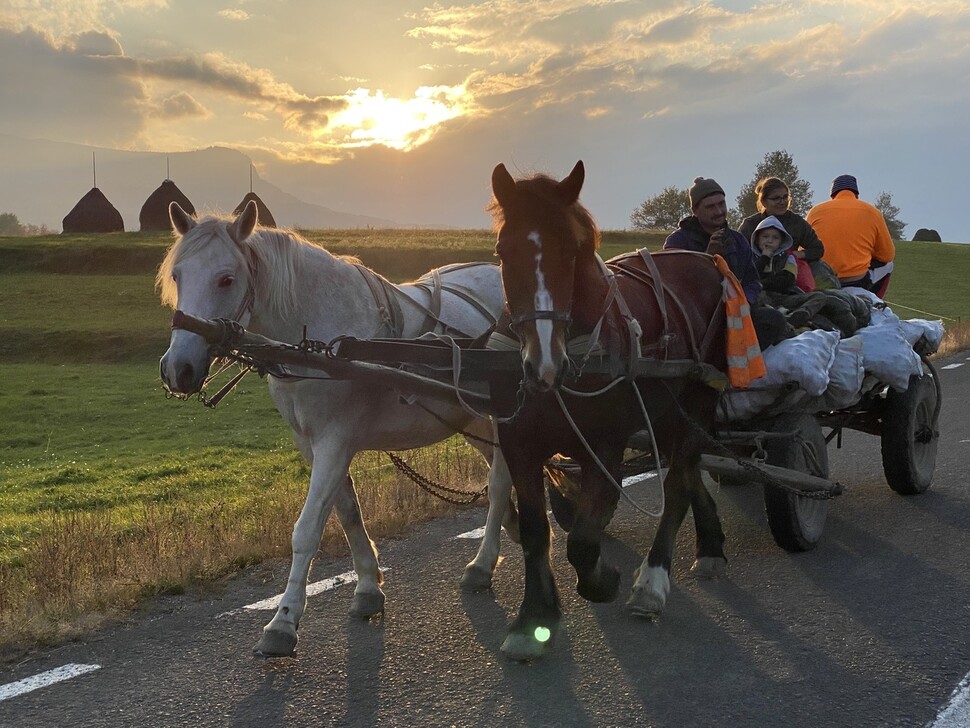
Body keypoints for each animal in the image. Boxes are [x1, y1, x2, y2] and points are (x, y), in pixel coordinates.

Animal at [159, 202, 516, 656]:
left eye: (226, 278)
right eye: (177, 275)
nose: (178, 369)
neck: (321, 342)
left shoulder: (334, 442)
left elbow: (307, 529)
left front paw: (283, 621)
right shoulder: (313, 444)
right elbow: (347, 513)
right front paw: (367, 588)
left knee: (501, 481)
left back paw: (484, 563)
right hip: (469, 417)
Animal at [488, 162, 728, 664]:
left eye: (573, 249)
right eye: (502, 250)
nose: (544, 365)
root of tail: (706, 261)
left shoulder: (603, 445)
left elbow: (582, 538)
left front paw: (603, 579)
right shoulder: (519, 443)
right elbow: (537, 531)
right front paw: (534, 619)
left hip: (698, 400)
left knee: (678, 483)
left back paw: (653, 581)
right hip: (668, 411)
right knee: (690, 471)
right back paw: (711, 543)